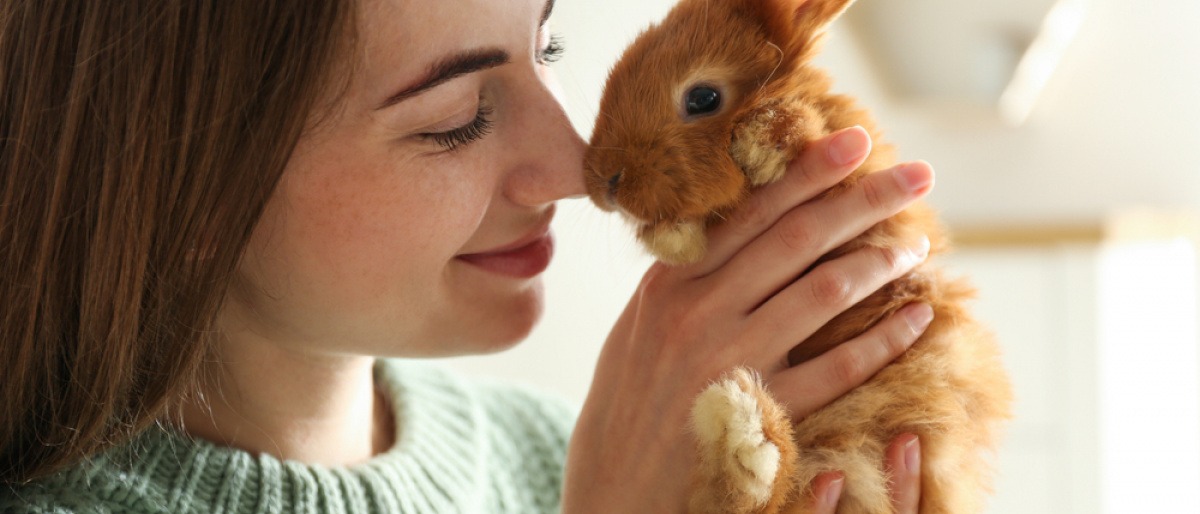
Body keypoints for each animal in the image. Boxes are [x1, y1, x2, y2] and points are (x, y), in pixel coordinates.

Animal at [580, 0, 1012, 509]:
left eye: (703, 98)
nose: (606, 182)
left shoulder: (858, 171)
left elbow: (804, 125)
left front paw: (761, 144)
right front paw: (674, 238)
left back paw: (744, 426)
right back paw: (744, 431)